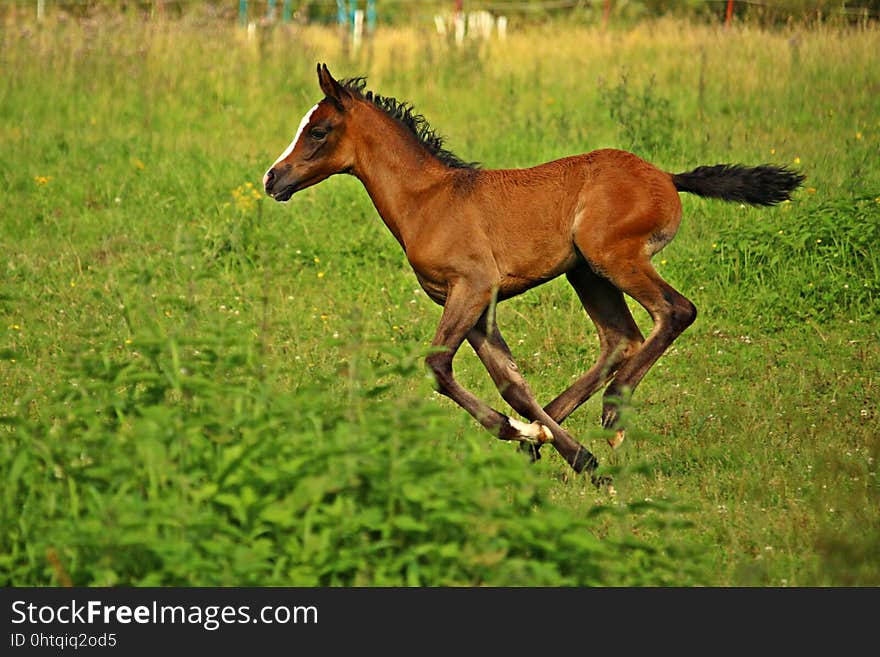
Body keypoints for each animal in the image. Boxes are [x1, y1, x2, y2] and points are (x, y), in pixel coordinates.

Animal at [262, 62, 804, 482]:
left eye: (318, 131)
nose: (272, 179)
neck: (429, 200)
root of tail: (667, 178)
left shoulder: (473, 287)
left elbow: (438, 367)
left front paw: (539, 439)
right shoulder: (471, 304)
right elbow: (513, 386)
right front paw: (557, 446)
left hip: (614, 259)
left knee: (676, 310)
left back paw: (613, 409)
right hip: (586, 272)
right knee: (620, 337)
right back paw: (553, 437)